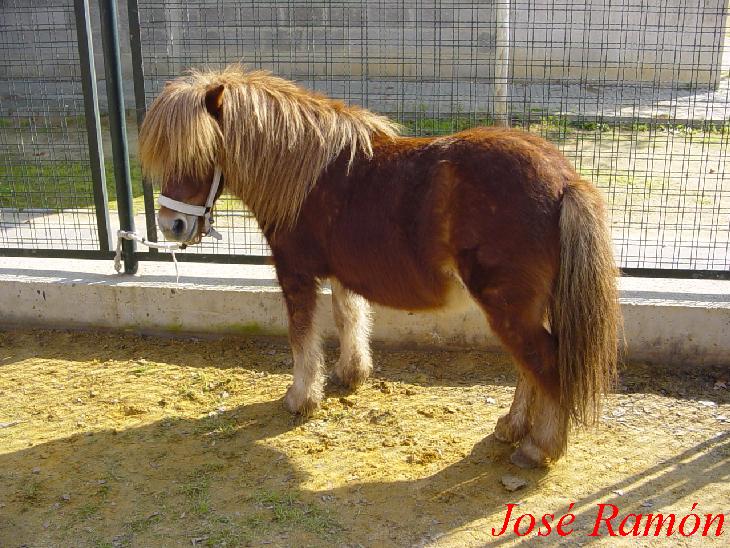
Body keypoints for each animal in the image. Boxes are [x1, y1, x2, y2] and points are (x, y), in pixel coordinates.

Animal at [139, 64, 616, 466]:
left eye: (199, 154)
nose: (171, 225)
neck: (306, 173)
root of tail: (565, 180)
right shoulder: (341, 274)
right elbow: (349, 318)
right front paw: (350, 375)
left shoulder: (295, 273)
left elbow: (302, 336)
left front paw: (300, 398)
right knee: (528, 367)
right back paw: (511, 428)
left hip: (507, 307)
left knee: (544, 365)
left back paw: (538, 447)